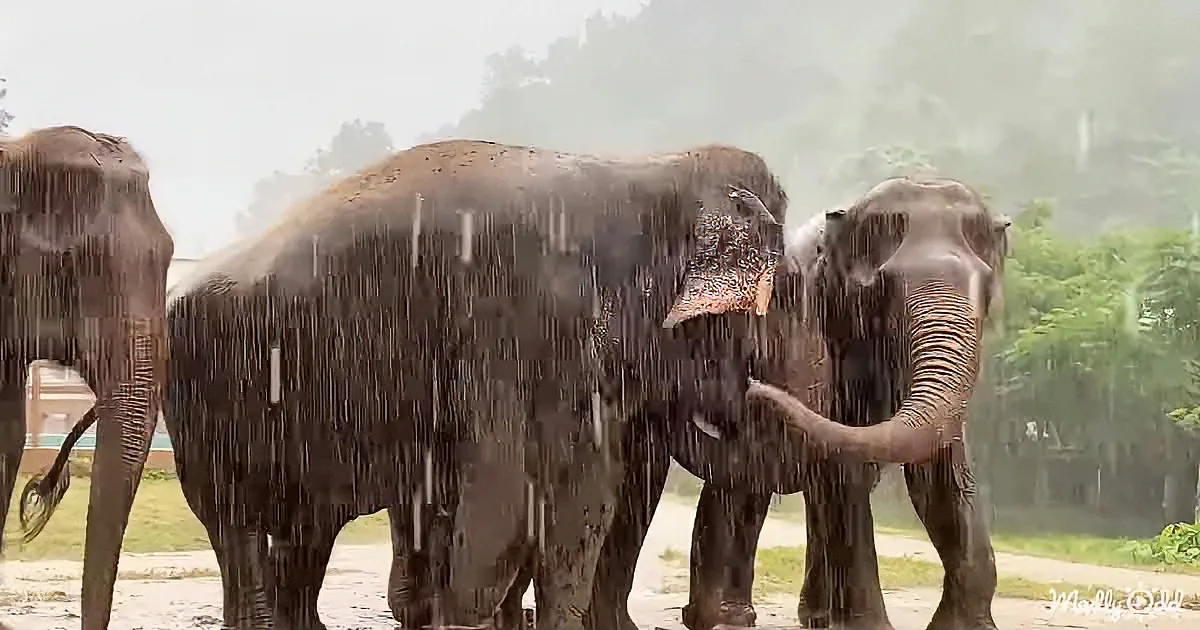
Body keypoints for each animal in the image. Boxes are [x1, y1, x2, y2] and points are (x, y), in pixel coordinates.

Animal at [21, 139, 790, 630]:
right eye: (764, 308)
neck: (643, 173)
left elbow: (582, 504)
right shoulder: (505, 325)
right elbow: (501, 507)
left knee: (304, 530)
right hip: (201, 414)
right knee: (235, 524)